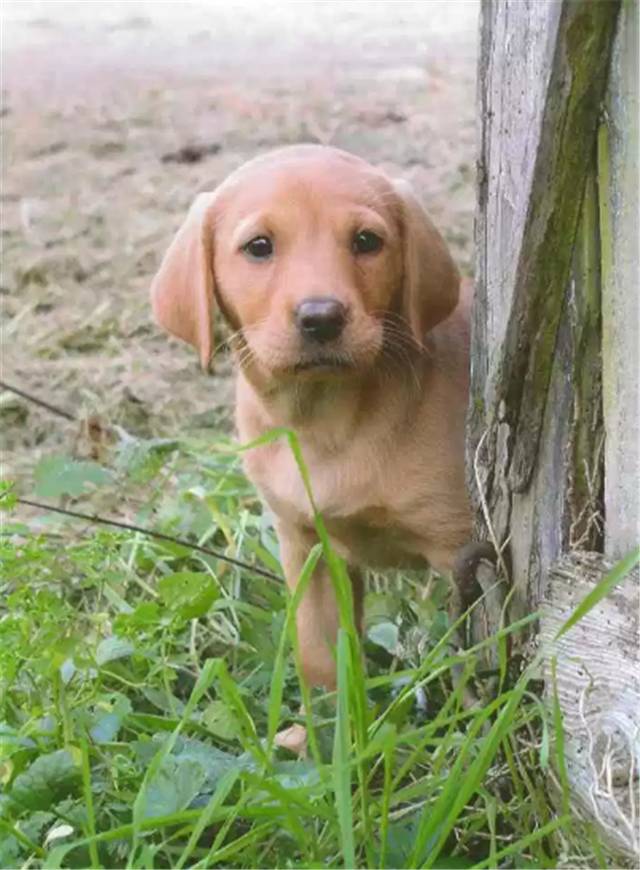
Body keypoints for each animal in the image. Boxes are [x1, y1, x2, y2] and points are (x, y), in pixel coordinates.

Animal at [150, 146, 470, 692]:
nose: (321, 318)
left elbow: (477, 665)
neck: (324, 420)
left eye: (367, 242)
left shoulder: (464, 553)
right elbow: (320, 657)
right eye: (259, 247)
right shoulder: (309, 547)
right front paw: (323, 715)